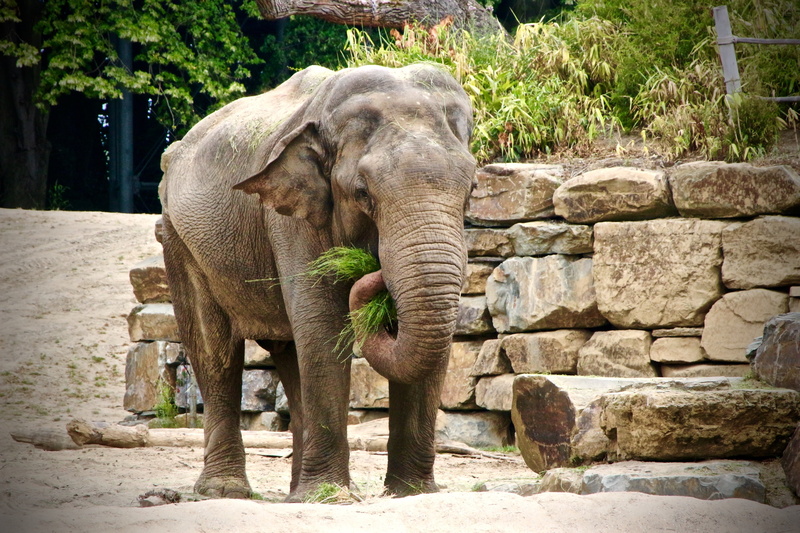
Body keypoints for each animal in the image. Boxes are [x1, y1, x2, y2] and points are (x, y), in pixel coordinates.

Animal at [158, 63, 476, 502]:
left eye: (471, 191)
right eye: (362, 193)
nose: (372, 268)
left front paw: (413, 494)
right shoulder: (291, 219)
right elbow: (323, 326)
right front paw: (334, 497)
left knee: (290, 353)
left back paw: (297, 493)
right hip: (178, 239)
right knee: (214, 350)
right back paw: (226, 491)